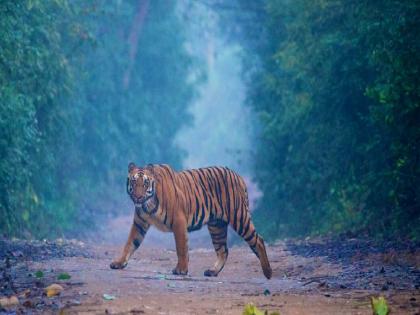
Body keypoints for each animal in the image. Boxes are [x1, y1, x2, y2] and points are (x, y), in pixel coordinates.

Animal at [109, 164, 272, 280]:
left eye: (145, 184)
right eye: (133, 182)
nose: (137, 197)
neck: (147, 205)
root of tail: (238, 176)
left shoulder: (179, 221)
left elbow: (181, 247)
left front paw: (181, 270)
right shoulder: (139, 224)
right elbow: (130, 243)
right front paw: (119, 263)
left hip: (239, 217)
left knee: (258, 240)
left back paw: (268, 272)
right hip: (216, 226)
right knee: (223, 250)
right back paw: (212, 271)